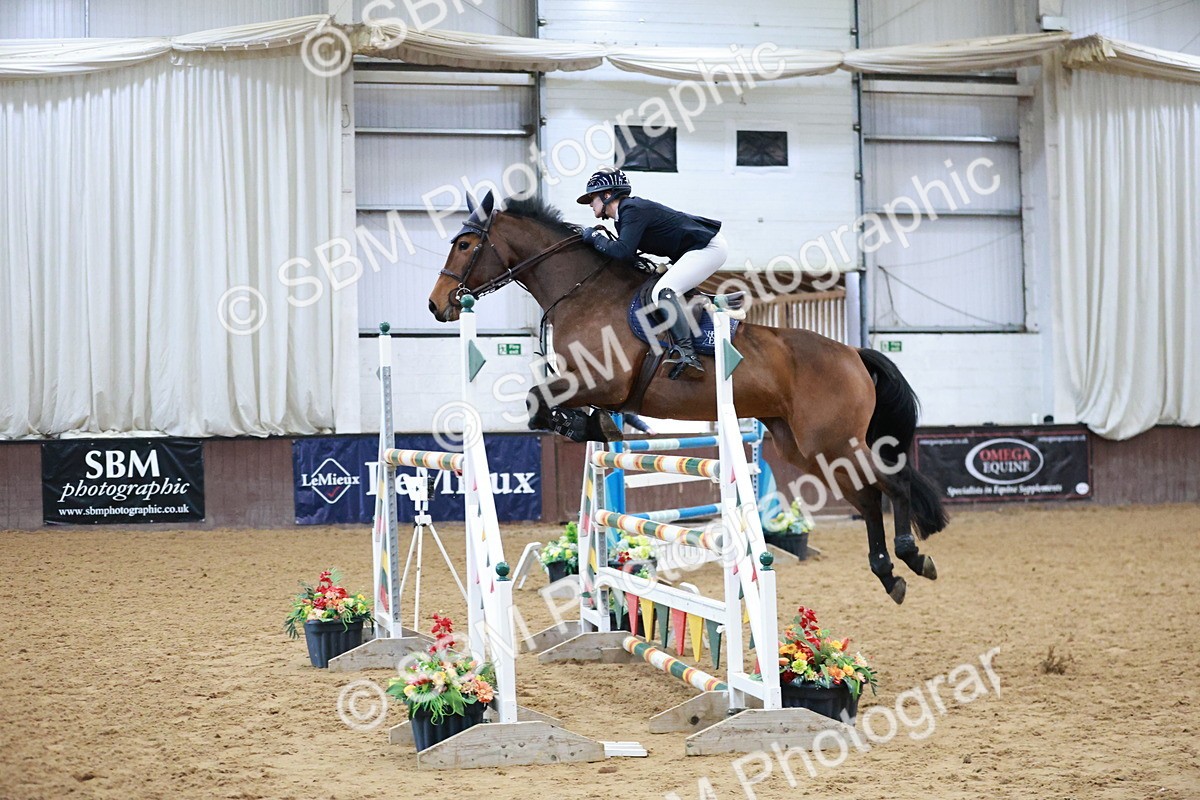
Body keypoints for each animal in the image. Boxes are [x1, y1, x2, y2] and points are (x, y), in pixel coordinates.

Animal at [427, 191, 948, 604]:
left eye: (465, 244)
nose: (437, 305)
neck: (582, 292)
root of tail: (853, 353)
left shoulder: (603, 382)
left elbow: (538, 402)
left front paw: (589, 424)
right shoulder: (588, 383)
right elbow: (544, 405)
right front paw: (594, 425)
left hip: (835, 441)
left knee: (893, 485)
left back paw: (912, 557)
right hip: (806, 448)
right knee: (868, 499)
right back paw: (890, 574)